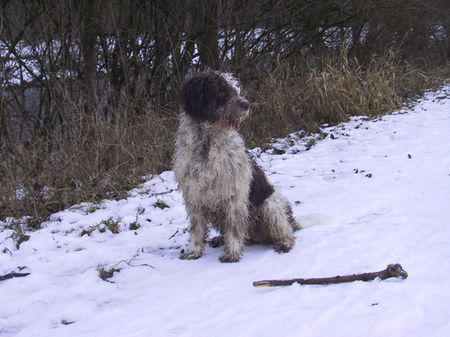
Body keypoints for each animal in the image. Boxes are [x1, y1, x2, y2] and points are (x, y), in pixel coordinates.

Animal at [174, 69, 300, 262]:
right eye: (220, 90)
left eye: (236, 89)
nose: (247, 104)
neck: (208, 142)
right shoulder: (194, 195)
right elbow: (197, 229)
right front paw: (193, 251)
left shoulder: (234, 193)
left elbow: (234, 227)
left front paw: (232, 253)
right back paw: (220, 239)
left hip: (269, 206)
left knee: (286, 232)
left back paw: (284, 243)